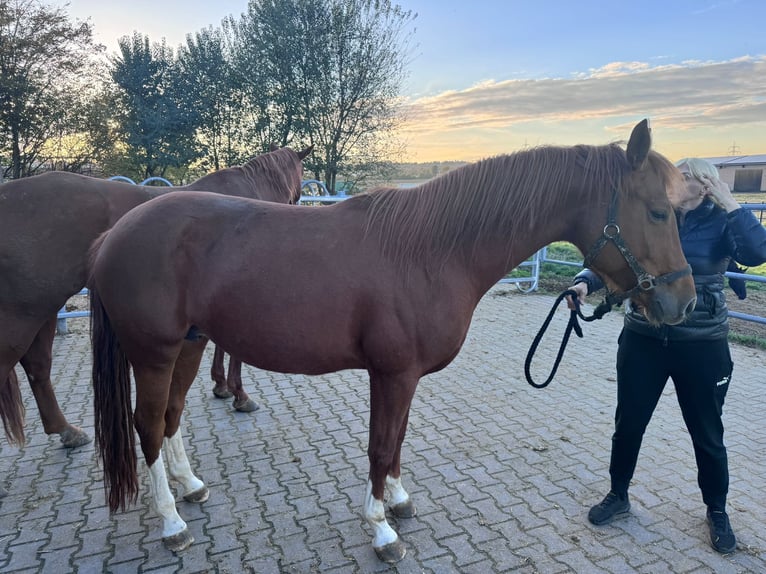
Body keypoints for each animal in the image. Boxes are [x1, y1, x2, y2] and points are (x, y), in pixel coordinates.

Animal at [0, 147, 312, 454]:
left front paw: (221, 386)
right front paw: (239, 394)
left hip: (43, 308)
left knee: (38, 366)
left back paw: (67, 430)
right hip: (23, 315)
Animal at [87, 120, 700, 564]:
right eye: (658, 212)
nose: (685, 303)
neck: (432, 250)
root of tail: (114, 233)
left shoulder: (405, 378)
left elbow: (398, 439)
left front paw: (399, 502)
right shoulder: (392, 374)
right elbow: (381, 446)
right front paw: (381, 530)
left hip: (189, 345)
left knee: (171, 416)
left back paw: (191, 486)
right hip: (155, 353)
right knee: (148, 425)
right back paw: (172, 522)